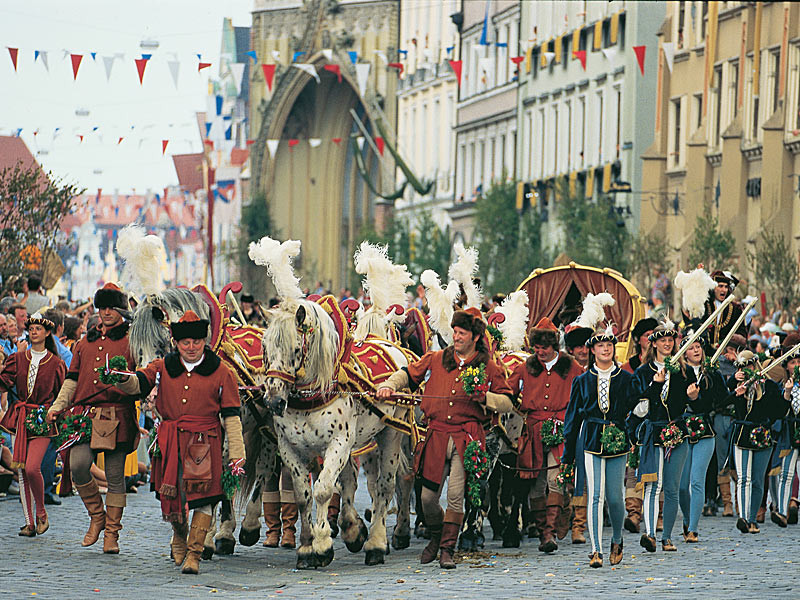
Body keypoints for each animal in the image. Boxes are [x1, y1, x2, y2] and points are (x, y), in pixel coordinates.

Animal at [262, 296, 416, 568]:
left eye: (296, 349)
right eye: (265, 347)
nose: (273, 401)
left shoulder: (339, 443)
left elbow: (323, 489)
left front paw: (323, 544)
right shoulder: (289, 448)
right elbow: (304, 496)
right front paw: (307, 547)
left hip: (390, 433)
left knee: (387, 485)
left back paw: (377, 543)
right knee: (357, 482)